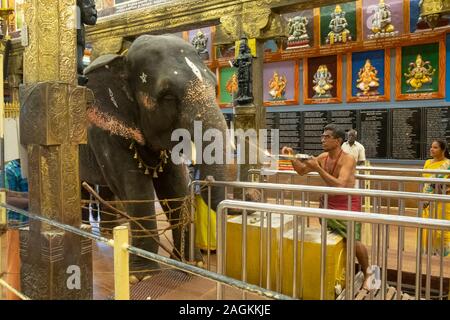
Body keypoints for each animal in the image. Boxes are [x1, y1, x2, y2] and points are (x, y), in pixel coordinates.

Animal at [80, 33, 236, 282]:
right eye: (168, 96)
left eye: (214, 86)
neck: (122, 59)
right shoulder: (105, 130)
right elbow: (134, 186)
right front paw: (142, 276)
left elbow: (176, 187)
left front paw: (190, 263)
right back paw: (84, 230)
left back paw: (104, 233)